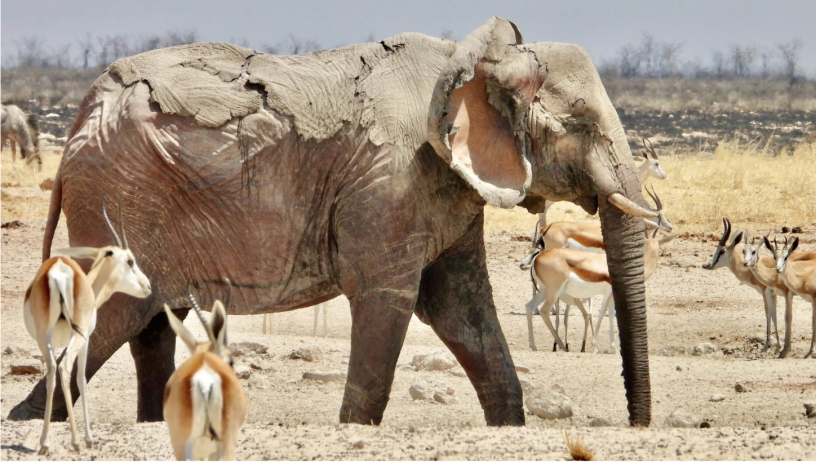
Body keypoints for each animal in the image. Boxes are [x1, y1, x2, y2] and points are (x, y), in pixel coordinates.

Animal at [10, 17, 658, 427]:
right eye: (581, 122)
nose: (636, 427)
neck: (470, 57)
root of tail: (79, 117)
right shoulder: (390, 183)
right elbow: (388, 301)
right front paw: (355, 429)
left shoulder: (445, 188)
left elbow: (462, 308)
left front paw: (509, 426)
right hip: (118, 198)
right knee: (114, 319)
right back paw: (29, 419)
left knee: (149, 323)